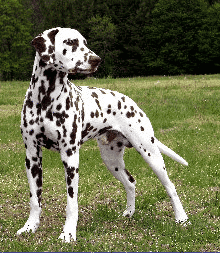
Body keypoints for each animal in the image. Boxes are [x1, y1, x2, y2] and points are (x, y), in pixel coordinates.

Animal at [17, 26, 189, 242]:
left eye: (85, 42)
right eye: (70, 42)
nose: (96, 60)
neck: (46, 99)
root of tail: (131, 102)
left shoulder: (70, 157)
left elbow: (71, 203)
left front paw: (68, 233)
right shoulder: (32, 156)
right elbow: (35, 199)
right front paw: (30, 226)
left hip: (151, 154)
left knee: (171, 186)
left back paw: (182, 218)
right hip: (111, 160)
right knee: (131, 183)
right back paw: (129, 213)